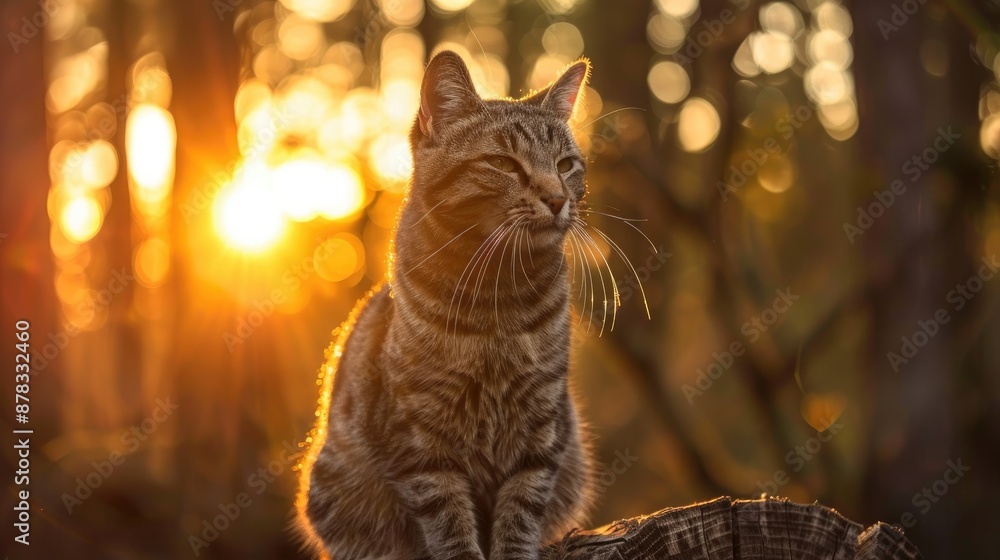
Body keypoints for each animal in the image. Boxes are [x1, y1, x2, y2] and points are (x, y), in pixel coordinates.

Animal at [296, 50, 592, 556]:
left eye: (566, 163)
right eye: (503, 163)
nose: (557, 199)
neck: (498, 298)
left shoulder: (541, 430)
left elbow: (521, 509)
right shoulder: (420, 442)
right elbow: (448, 521)